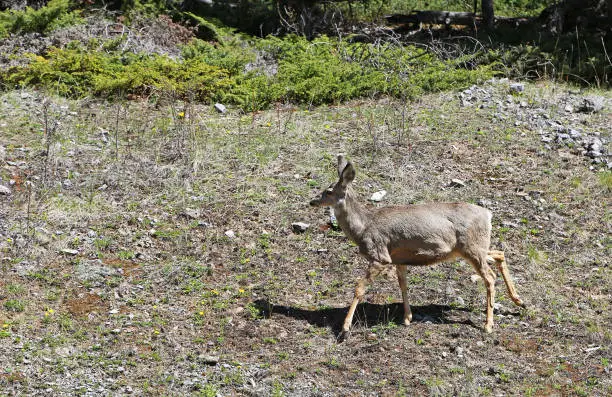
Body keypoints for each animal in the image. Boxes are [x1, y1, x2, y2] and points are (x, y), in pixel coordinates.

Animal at [310, 154, 524, 334]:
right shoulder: (399, 259)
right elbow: (403, 285)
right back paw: (519, 301)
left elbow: (359, 288)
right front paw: (407, 318)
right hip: (473, 248)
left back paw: (488, 325)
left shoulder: (380, 256)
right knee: (499, 254)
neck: (363, 227)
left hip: (472, 248)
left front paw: (345, 327)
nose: (312, 201)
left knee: (490, 277)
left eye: (328, 191)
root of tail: (488, 214)